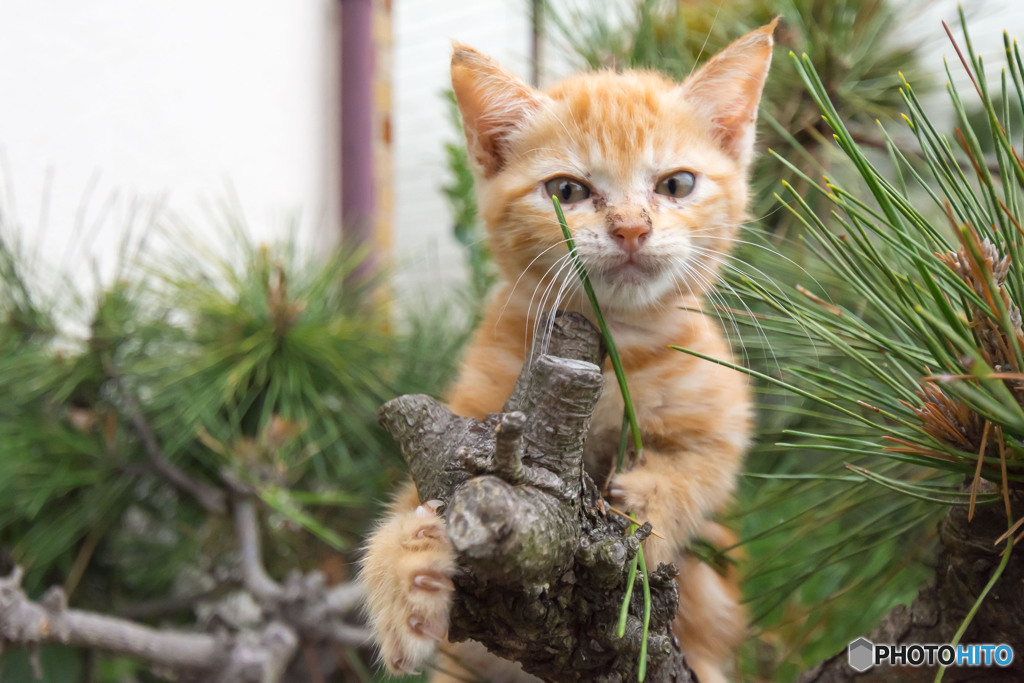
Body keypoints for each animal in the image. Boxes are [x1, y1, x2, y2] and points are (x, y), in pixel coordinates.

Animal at [364, 21, 770, 683]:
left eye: (676, 184)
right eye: (567, 190)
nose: (631, 227)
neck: (614, 348)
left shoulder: (722, 411)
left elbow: (704, 469)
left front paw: (651, 505)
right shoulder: (467, 429)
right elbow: (407, 506)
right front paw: (406, 581)